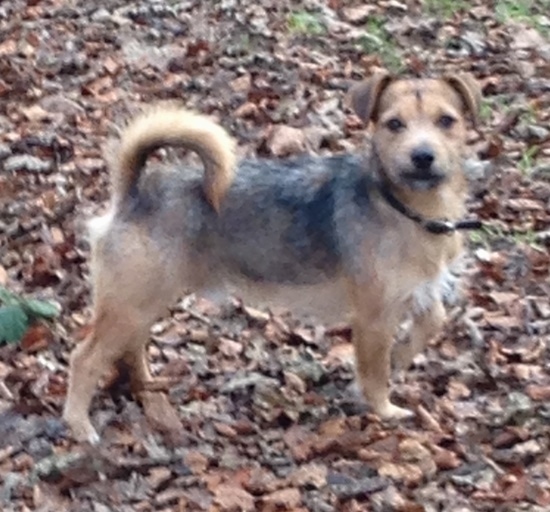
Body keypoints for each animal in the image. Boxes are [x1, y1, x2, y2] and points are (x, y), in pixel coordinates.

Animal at [63, 73, 484, 444]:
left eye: (446, 121)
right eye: (395, 124)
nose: (423, 156)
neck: (402, 206)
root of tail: (135, 193)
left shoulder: (418, 291)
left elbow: (432, 321)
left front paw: (402, 355)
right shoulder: (374, 319)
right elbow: (375, 373)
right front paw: (385, 410)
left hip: (144, 301)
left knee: (129, 348)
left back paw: (145, 385)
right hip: (131, 303)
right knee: (85, 359)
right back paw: (79, 426)